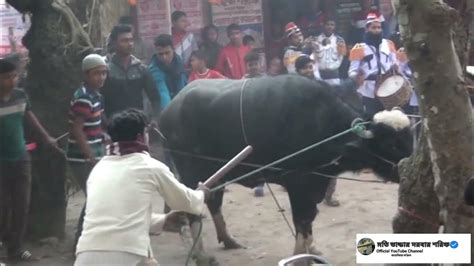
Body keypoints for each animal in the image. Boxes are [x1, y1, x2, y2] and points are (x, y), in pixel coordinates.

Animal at [158, 75, 412, 262]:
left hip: (219, 173)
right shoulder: (299, 184)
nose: (407, 171)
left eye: (410, 138)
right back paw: (201, 254)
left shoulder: (316, 183)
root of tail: (168, 111)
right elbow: (302, 220)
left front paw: (312, 249)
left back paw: (229, 240)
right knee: (192, 208)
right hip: (191, 172)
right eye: (391, 143)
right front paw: (301, 255)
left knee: (214, 202)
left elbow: (309, 220)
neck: (324, 126)